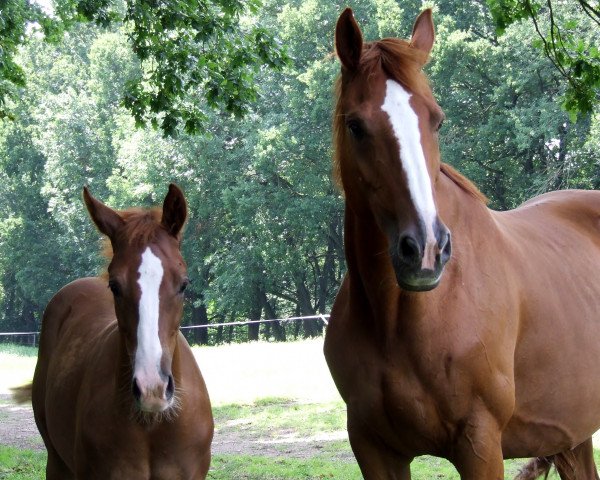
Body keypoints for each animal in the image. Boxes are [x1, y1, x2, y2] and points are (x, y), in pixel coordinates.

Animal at [326, 8, 600, 480]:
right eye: (356, 126)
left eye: (436, 119)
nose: (426, 250)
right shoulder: (373, 448)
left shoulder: (480, 445)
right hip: (573, 434)